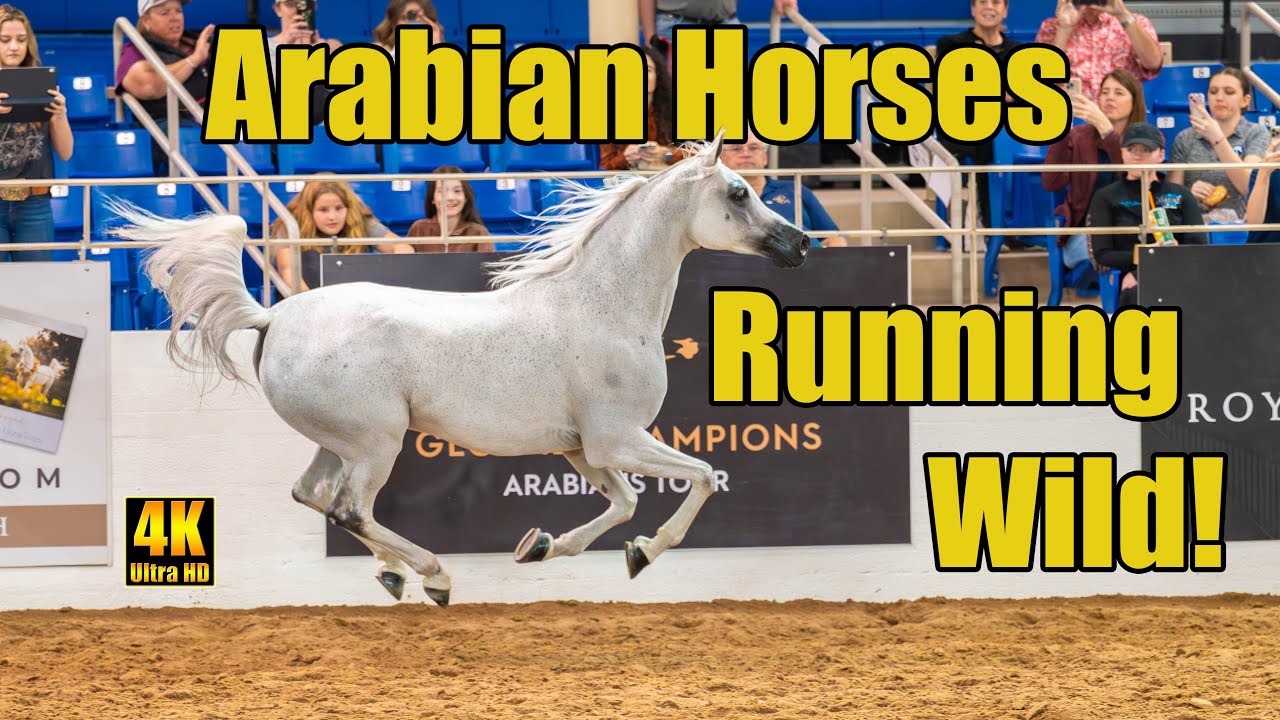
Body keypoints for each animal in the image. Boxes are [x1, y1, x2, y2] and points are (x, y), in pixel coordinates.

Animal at [109, 132, 809, 607]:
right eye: (739, 192)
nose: (800, 244)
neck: (602, 306)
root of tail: (273, 317)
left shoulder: (584, 448)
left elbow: (625, 503)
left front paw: (545, 547)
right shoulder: (618, 439)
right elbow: (701, 479)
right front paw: (643, 553)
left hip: (337, 442)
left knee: (312, 496)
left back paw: (395, 574)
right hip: (377, 443)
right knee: (349, 510)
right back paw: (433, 576)